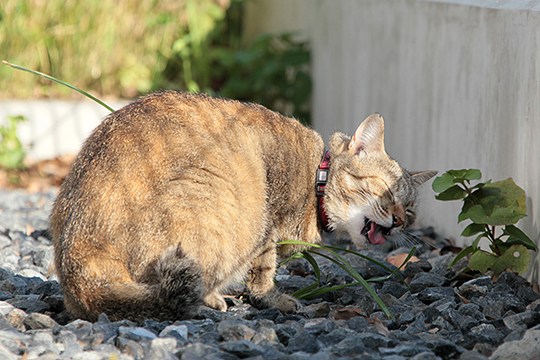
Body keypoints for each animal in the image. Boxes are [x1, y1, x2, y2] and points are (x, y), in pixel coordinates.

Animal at [50, 90, 436, 320]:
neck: (316, 175)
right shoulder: (267, 220)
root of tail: (76, 267)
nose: (399, 221)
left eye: (410, 210)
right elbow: (263, 271)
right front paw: (274, 298)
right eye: (387, 192)